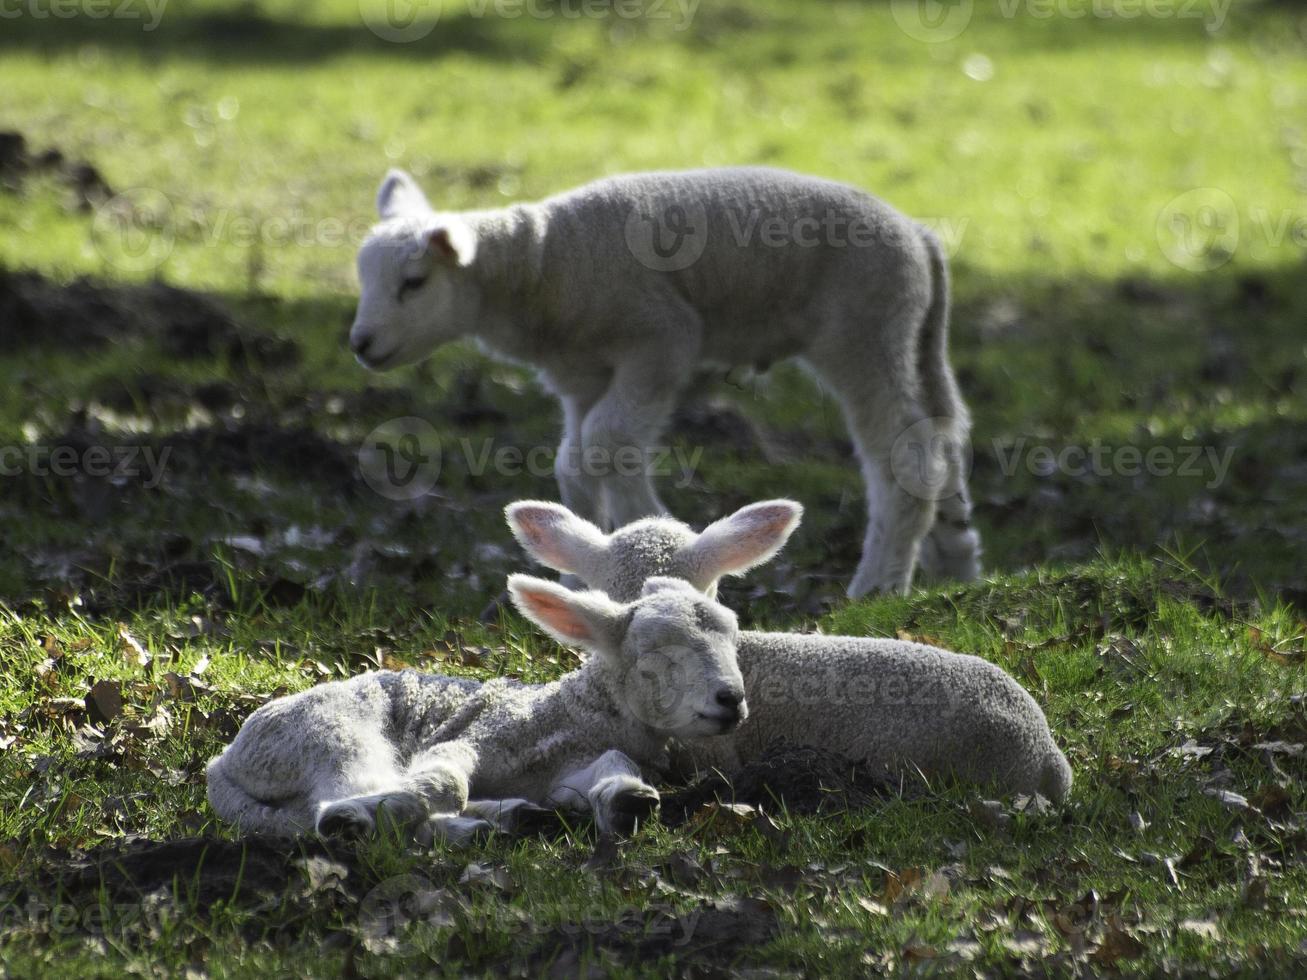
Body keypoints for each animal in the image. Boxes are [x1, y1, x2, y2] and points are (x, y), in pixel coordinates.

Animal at [209, 574, 752, 846]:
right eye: (656, 652)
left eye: (732, 640)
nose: (732, 699)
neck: (571, 713)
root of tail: (223, 762)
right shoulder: (482, 736)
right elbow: (446, 782)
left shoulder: (570, 766)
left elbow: (612, 767)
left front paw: (628, 800)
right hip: (327, 738)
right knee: (331, 806)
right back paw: (365, 819)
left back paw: (509, 818)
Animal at [347, 167, 982, 598]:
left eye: (413, 282)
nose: (361, 344)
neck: (541, 264)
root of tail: (921, 238)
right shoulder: (580, 375)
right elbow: (575, 462)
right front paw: (580, 575)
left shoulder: (660, 339)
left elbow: (609, 444)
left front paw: (656, 538)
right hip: (909, 336)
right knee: (943, 436)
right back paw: (957, 566)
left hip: (864, 332)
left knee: (906, 455)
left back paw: (878, 584)